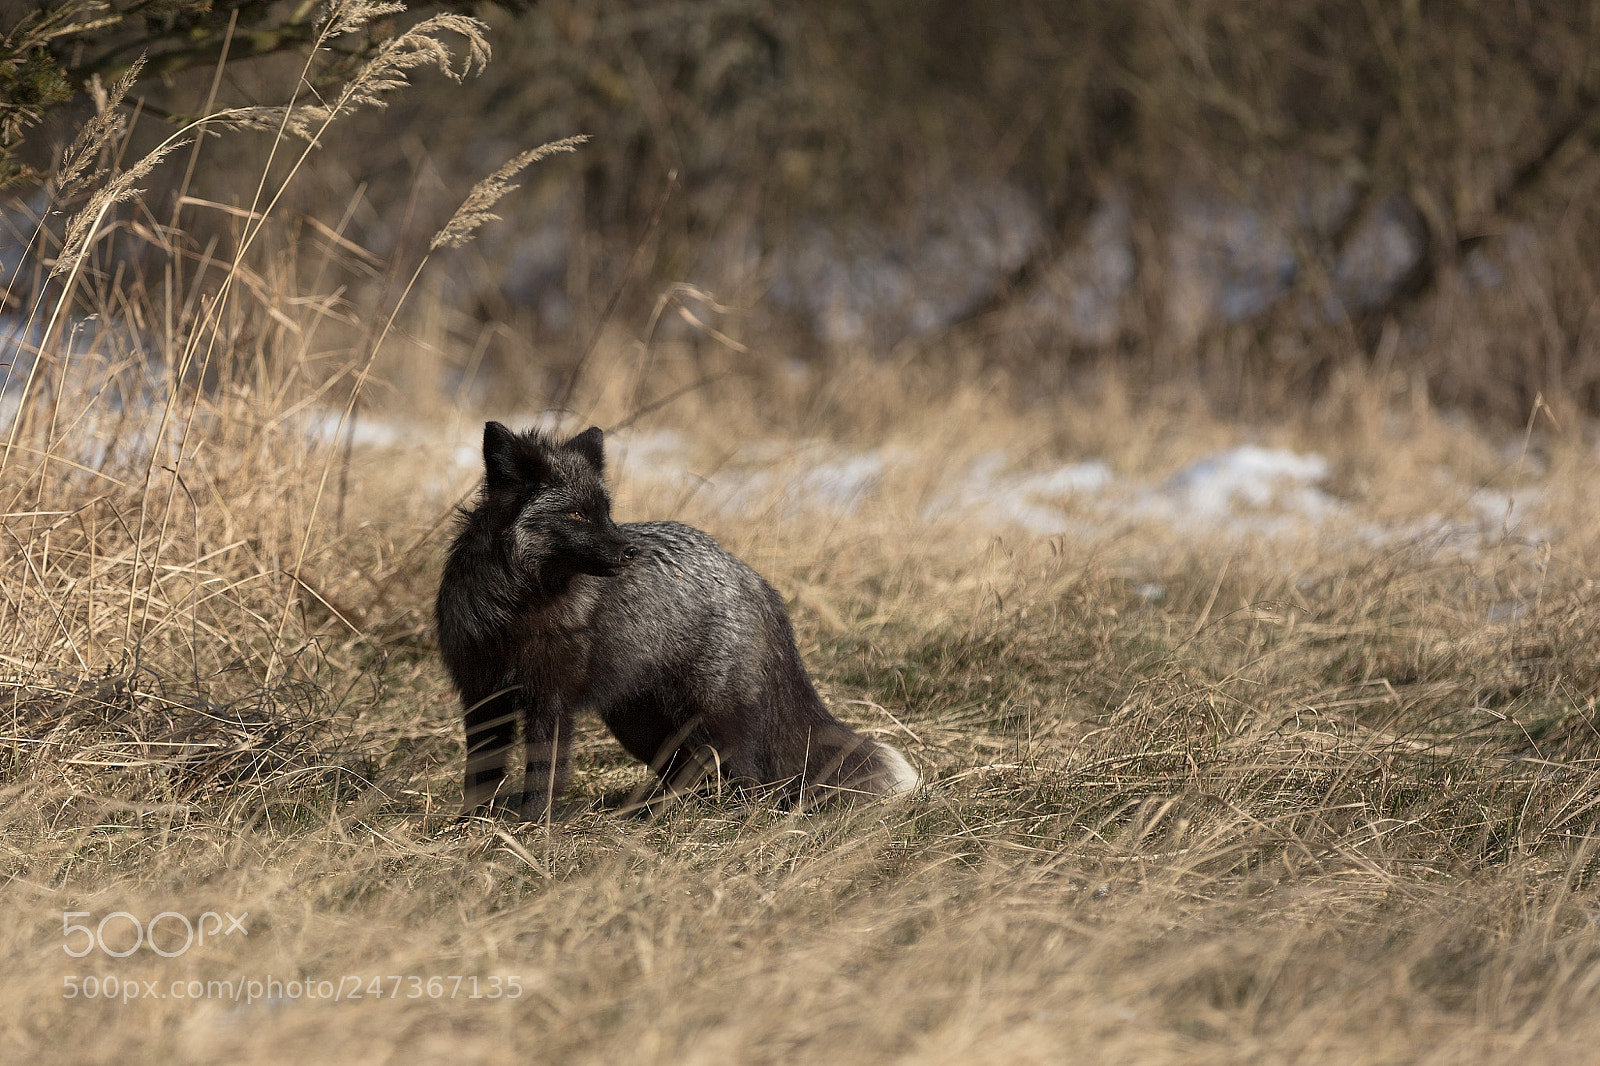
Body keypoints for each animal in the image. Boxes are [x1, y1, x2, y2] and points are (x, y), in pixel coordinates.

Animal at [435, 421, 919, 819]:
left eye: (606, 512)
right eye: (575, 514)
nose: (630, 552)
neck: (516, 612)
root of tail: (754, 578)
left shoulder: (550, 700)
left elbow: (543, 776)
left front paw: (533, 827)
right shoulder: (482, 696)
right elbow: (480, 773)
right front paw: (471, 826)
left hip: (709, 720)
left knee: (749, 776)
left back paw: (730, 817)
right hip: (642, 725)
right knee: (685, 772)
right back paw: (652, 815)